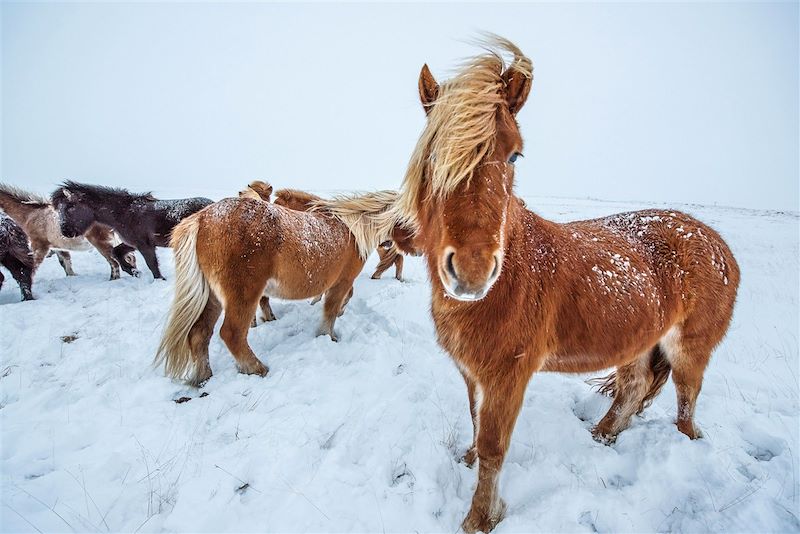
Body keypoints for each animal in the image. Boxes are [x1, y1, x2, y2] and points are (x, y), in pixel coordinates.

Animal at [0, 184, 135, 280]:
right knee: (128, 258)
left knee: (114, 262)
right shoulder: (59, 248)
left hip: (102, 244)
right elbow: (66, 263)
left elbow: (33, 266)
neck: (30, 215)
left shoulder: (40, 246)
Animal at [50, 182, 212, 280]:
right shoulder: (132, 243)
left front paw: (159, 279)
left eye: (70, 207)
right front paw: (134, 271)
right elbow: (116, 252)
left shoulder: (145, 246)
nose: (65, 232)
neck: (124, 214)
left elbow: (152, 265)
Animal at [155, 191, 398, 388]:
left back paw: (203, 377)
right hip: (243, 295)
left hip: (212, 297)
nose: (388, 245)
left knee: (199, 334)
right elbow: (330, 310)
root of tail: (202, 218)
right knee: (232, 334)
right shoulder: (342, 282)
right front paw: (328, 335)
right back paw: (257, 369)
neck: (351, 229)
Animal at [390, 35, 740, 532]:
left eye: (514, 154)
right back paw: (602, 436)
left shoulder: (508, 375)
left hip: (689, 348)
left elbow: (494, 447)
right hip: (637, 339)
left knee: (687, 400)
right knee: (633, 385)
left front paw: (480, 518)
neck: (513, 276)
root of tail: (715, 242)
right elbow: (476, 426)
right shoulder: (473, 372)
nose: (473, 271)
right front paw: (468, 460)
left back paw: (682, 443)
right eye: (434, 155)